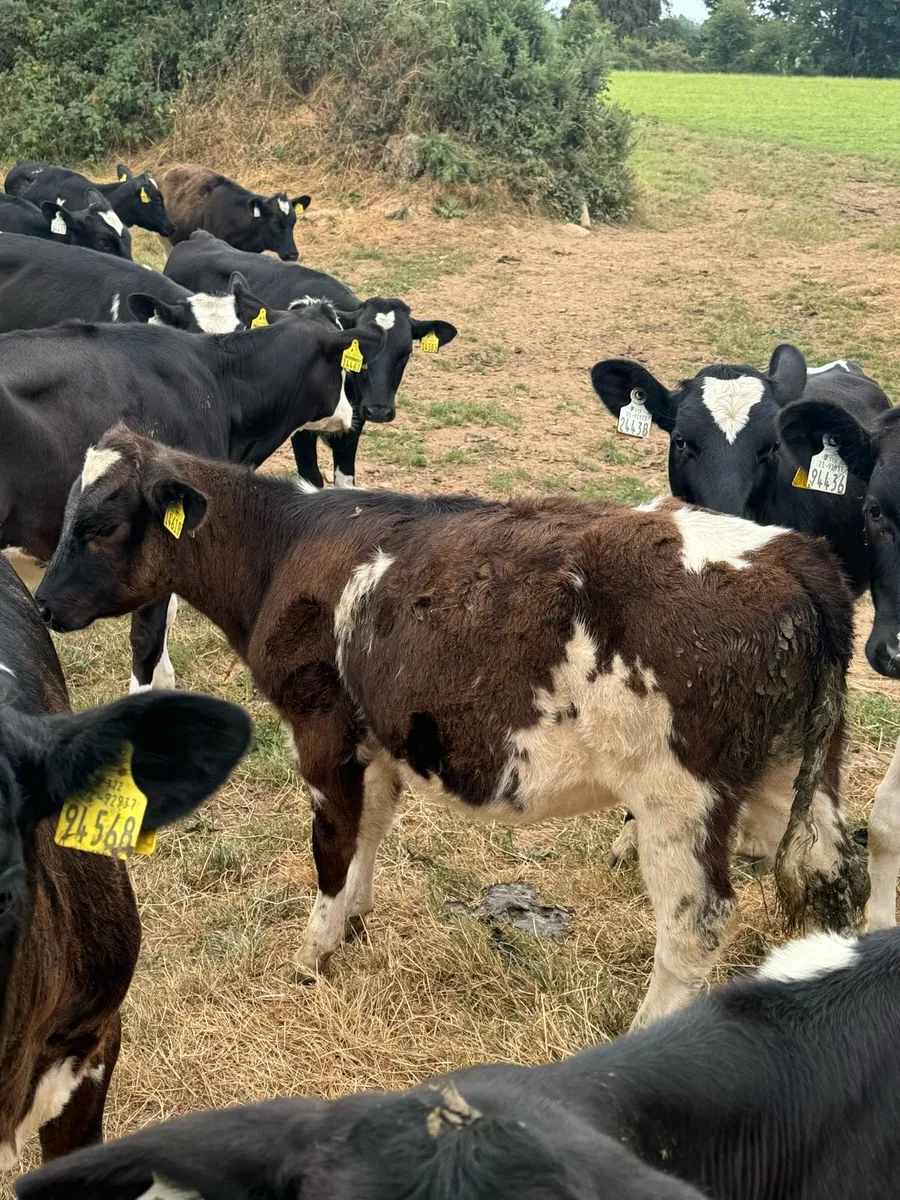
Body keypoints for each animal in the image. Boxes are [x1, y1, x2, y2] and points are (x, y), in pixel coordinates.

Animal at [35, 430, 868, 1028]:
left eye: (101, 525)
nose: (41, 602)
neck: (288, 547)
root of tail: (797, 557)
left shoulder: (321, 728)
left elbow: (332, 845)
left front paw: (312, 953)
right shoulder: (376, 737)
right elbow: (368, 831)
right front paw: (353, 923)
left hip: (681, 796)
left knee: (696, 923)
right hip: (792, 771)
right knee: (837, 876)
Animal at [165, 231, 457, 488]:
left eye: (406, 352)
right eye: (365, 354)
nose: (379, 410)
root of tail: (199, 236)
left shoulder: (353, 427)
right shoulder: (300, 428)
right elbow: (311, 480)